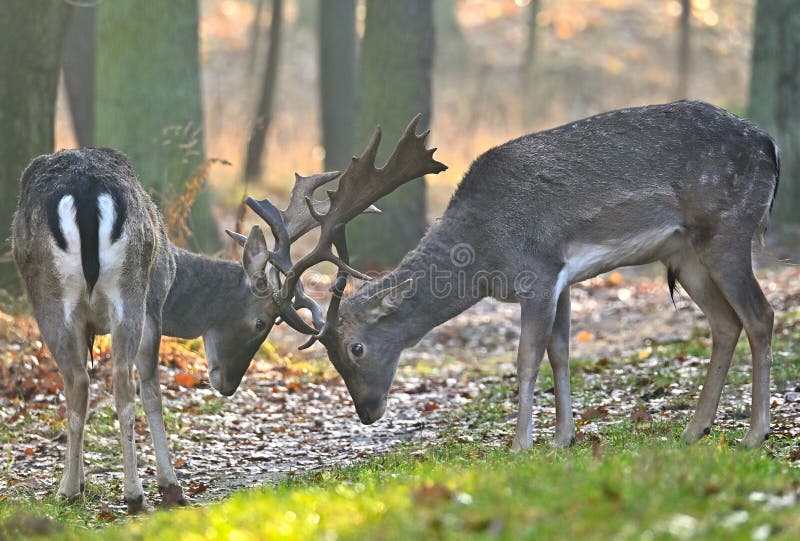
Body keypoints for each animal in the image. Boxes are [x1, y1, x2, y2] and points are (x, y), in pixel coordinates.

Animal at [11, 147, 359, 512]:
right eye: (261, 322)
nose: (228, 385)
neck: (174, 268)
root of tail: (85, 192)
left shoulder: (125, 315)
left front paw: (98, 483)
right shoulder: (146, 309)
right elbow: (147, 391)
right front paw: (162, 486)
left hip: (74, 297)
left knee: (89, 381)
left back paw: (87, 492)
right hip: (114, 294)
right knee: (110, 380)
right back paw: (121, 494)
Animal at [248, 101, 779, 452]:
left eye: (355, 348)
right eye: (332, 356)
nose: (367, 411)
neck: (485, 254)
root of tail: (770, 144)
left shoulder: (537, 272)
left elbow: (527, 358)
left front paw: (521, 444)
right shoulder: (563, 280)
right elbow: (561, 352)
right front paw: (563, 439)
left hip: (728, 229)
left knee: (760, 316)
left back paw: (755, 434)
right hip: (686, 254)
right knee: (725, 323)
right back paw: (695, 430)